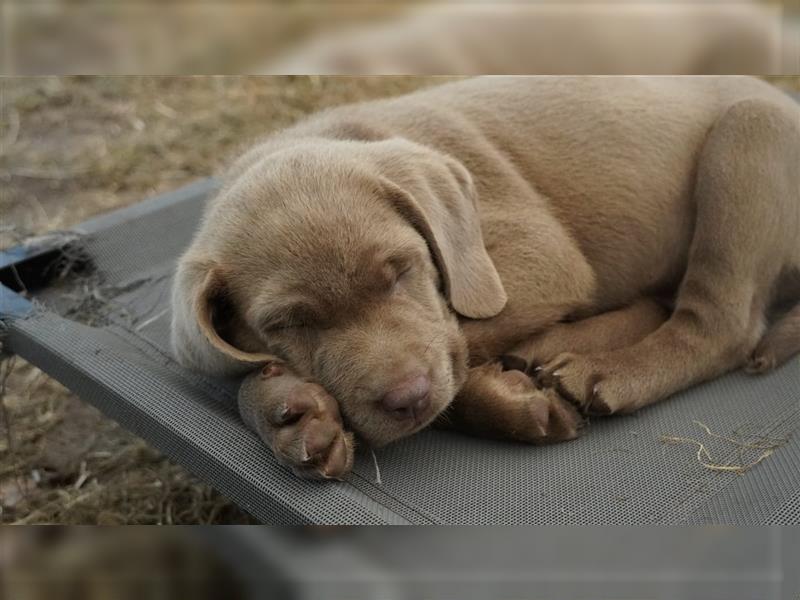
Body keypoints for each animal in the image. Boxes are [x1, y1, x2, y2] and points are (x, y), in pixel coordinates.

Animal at [170, 76, 800, 478]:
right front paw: (289, 410)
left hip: (749, 132)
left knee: (717, 326)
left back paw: (604, 371)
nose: (407, 400)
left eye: (401, 271)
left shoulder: (538, 254)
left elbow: (458, 344)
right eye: (288, 324)